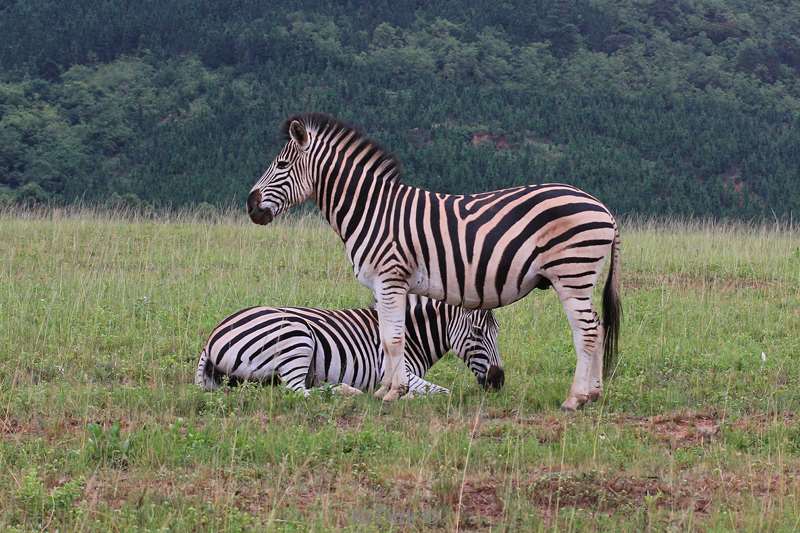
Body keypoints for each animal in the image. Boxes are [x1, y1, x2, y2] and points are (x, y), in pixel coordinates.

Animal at [196, 296, 504, 394]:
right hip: (297, 336)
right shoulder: (391, 371)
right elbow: (443, 392)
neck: (412, 335)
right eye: (477, 332)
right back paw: (349, 392)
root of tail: (212, 337)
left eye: (497, 332)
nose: (498, 381)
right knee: (298, 391)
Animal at [247, 113, 620, 412]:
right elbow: (387, 335)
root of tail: (604, 208)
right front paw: (386, 389)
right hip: (580, 276)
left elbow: (392, 338)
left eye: (281, 166)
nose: (250, 206)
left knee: (586, 330)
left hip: (572, 272)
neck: (372, 211)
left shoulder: (390, 278)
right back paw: (594, 394)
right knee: (598, 326)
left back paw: (575, 399)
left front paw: (392, 393)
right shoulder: (388, 284)